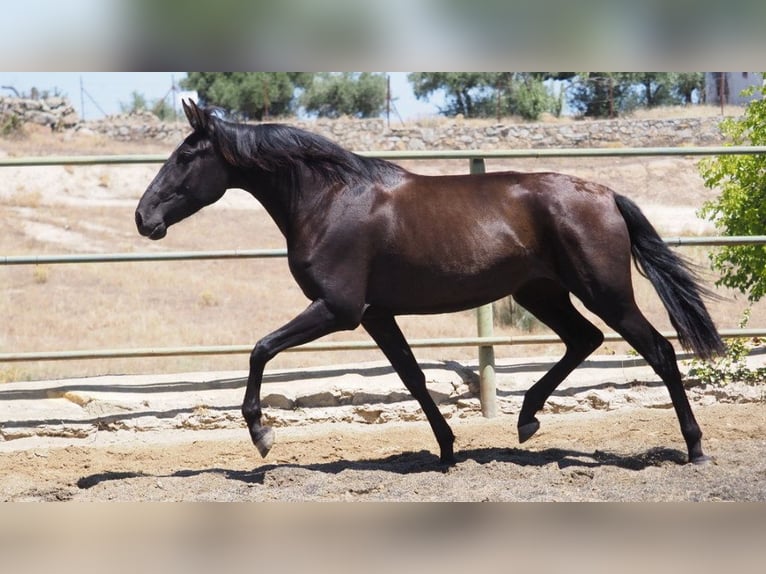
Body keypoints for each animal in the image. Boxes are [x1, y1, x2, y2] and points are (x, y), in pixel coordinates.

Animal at [138, 101, 728, 466]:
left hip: (605, 292)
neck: (329, 200)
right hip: (540, 292)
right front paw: (446, 449)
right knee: (584, 340)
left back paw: (695, 447)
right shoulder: (375, 315)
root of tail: (605, 194)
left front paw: (262, 435)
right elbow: (414, 378)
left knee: (659, 351)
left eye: (186, 155)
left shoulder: (338, 309)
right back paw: (526, 420)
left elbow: (261, 349)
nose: (145, 218)